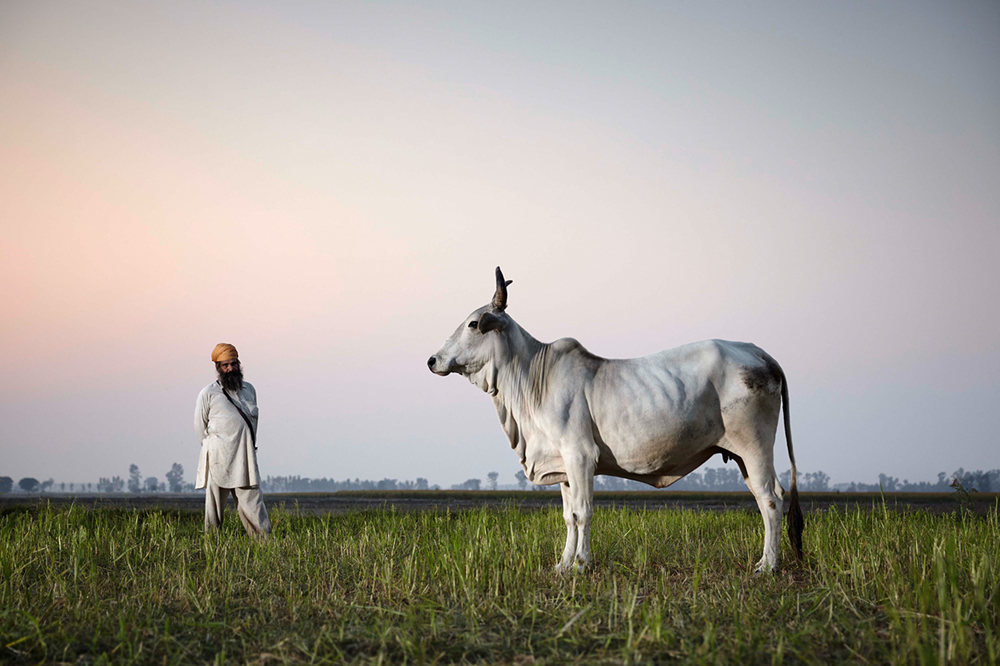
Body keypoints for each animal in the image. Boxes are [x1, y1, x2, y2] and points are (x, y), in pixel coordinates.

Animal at [428, 266, 804, 572]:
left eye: (473, 324)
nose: (433, 360)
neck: (533, 380)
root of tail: (757, 351)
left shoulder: (580, 456)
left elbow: (583, 512)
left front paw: (580, 565)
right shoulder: (563, 465)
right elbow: (568, 517)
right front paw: (563, 565)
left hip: (755, 447)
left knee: (772, 498)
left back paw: (767, 566)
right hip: (740, 456)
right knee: (762, 499)